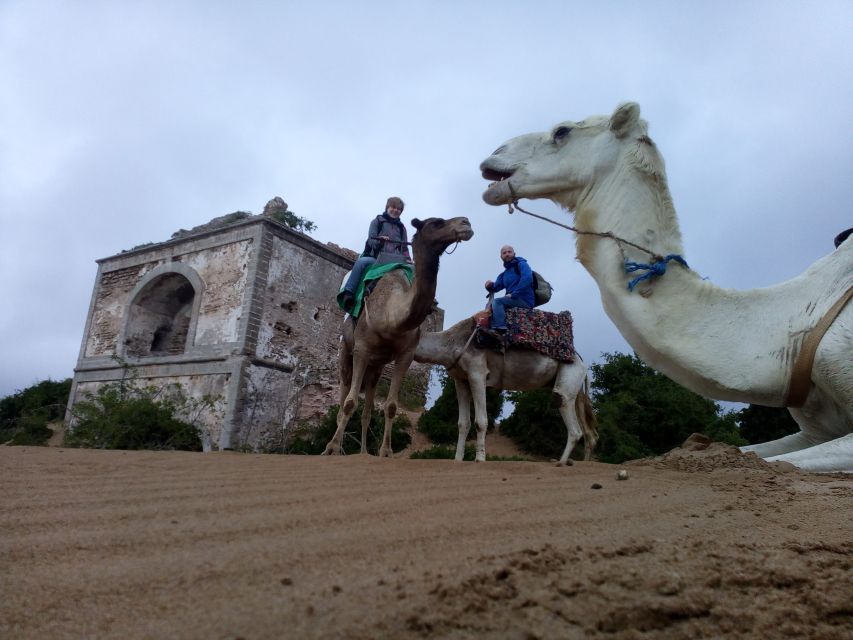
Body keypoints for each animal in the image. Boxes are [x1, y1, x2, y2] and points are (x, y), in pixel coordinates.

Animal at [324, 218, 476, 458]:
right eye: (436, 223)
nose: (465, 222)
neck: (391, 315)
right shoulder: (361, 348)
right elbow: (349, 403)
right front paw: (332, 448)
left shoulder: (406, 354)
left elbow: (391, 406)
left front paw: (386, 451)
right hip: (345, 354)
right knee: (343, 398)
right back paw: (335, 447)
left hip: (375, 369)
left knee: (367, 410)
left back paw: (363, 452)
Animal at [412, 316, 592, 462]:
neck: (452, 342)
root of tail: (582, 361)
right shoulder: (460, 380)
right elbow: (463, 423)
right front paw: (457, 459)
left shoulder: (477, 373)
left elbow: (480, 421)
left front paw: (480, 459)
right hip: (574, 386)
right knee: (587, 430)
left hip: (569, 377)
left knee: (571, 421)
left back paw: (560, 462)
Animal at [480, 102, 852, 472]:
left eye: (562, 131)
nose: (492, 158)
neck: (791, 328)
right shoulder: (814, 429)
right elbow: (740, 452)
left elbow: (767, 461)